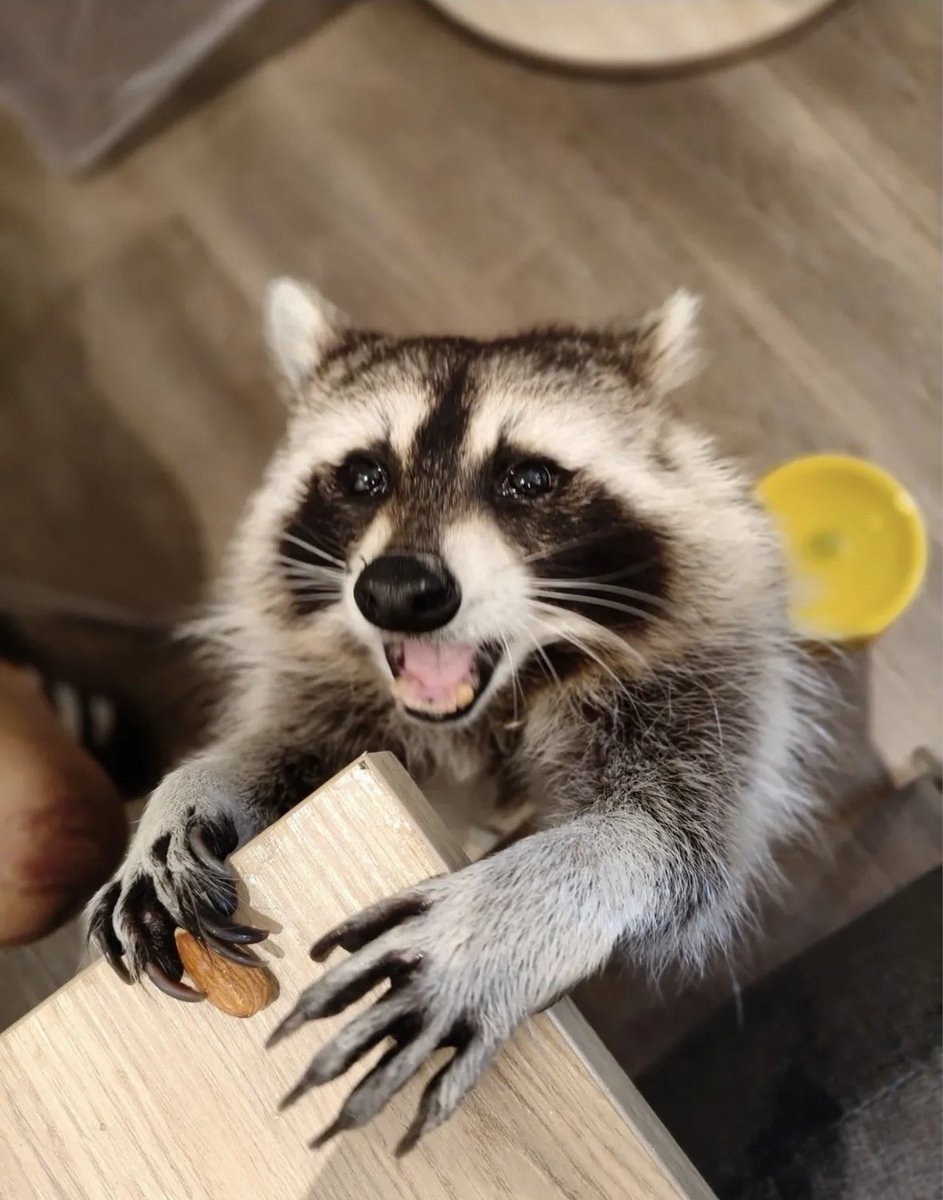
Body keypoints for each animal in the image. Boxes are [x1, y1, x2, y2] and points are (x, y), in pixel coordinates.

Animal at [89, 280, 818, 1152]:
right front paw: (196, 786)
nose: (398, 592)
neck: (494, 697)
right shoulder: (333, 683)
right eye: (365, 475)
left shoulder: (698, 679)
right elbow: (301, 742)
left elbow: (672, 838)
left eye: (529, 479)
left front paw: (512, 910)